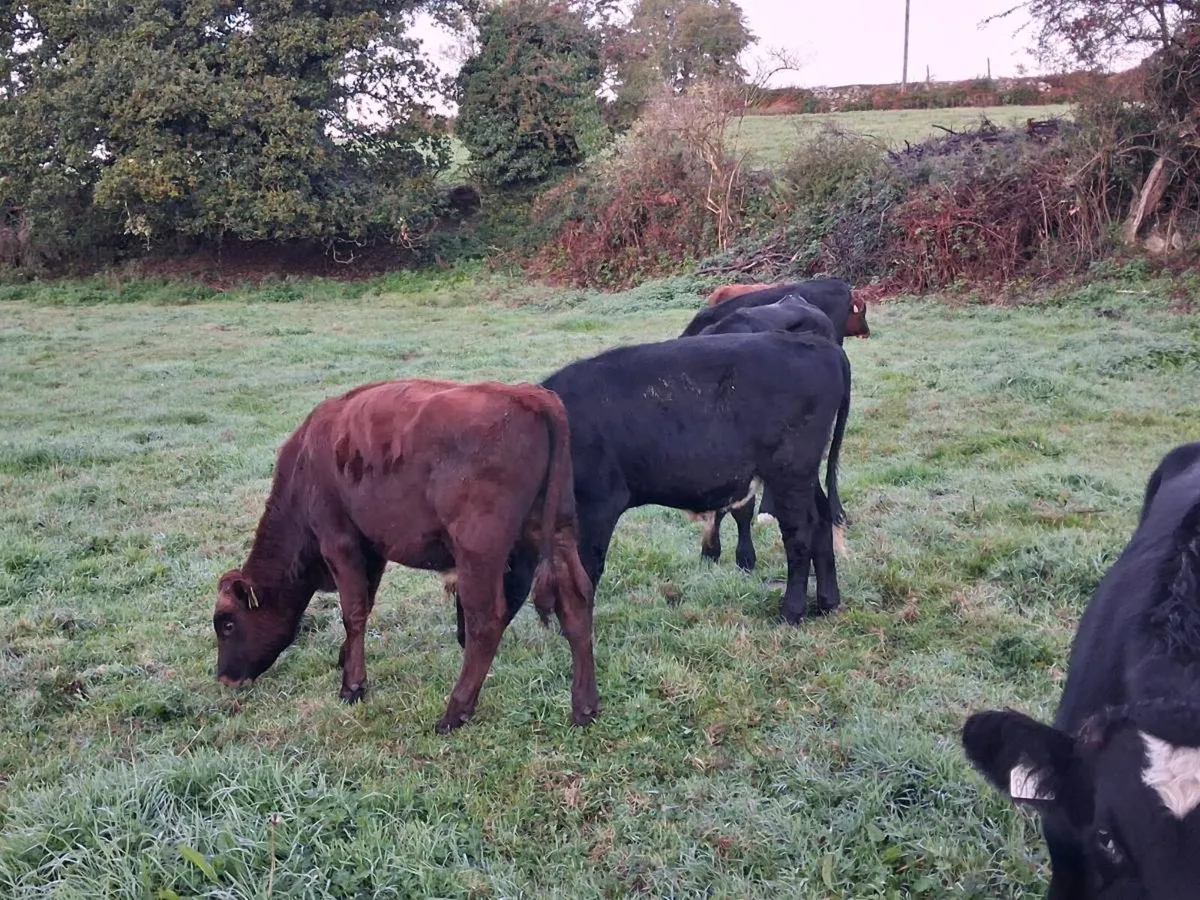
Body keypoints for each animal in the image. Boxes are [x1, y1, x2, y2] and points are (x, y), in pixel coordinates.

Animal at [212, 378, 599, 735]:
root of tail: (526, 395)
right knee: (575, 603)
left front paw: (352, 686)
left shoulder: (339, 541)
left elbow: (353, 612)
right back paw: (585, 707)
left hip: (478, 553)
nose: (224, 678)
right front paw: (345, 660)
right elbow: (364, 605)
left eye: (228, 624)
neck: (305, 462)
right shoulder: (373, 549)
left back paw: (454, 712)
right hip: (558, 532)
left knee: (485, 622)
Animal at [449, 331, 851, 642]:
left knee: (800, 533)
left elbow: (587, 568)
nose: (464, 637)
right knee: (821, 521)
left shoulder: (598, 504)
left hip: (789, 470)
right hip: (804, 473)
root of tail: (819, 345)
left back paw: (791, 612)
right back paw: (827, 602)